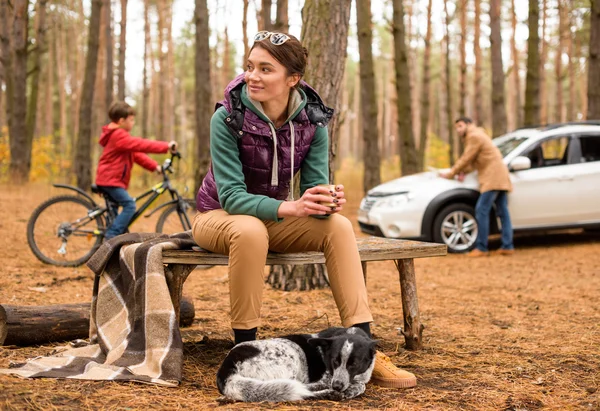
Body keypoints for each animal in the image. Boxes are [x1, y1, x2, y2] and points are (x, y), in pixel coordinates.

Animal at [214, 328, 376, 402]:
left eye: (354, 364)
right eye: (334, 361)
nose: (336, 386)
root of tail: (227, 367)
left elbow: (360, 384)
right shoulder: (326, 379)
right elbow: (361, 385)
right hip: (290, 361)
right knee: (301, 390)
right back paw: (329, 394)